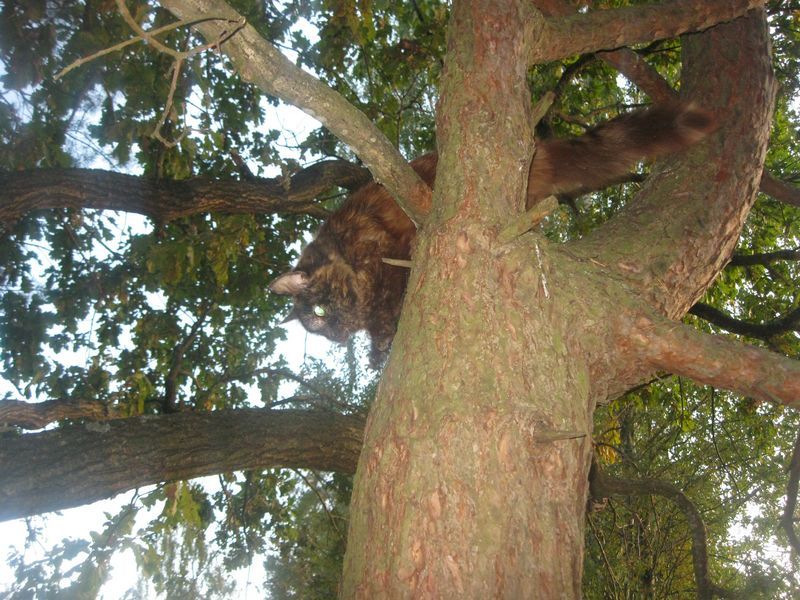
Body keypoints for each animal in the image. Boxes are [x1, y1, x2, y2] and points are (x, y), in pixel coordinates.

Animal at [268, 103, 712, 366]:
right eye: (321, 332)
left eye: (320, 312)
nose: (338, 335)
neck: (341, 246)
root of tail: (538, 151)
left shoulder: (390, 253)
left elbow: (387, 306)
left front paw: (379, 349)